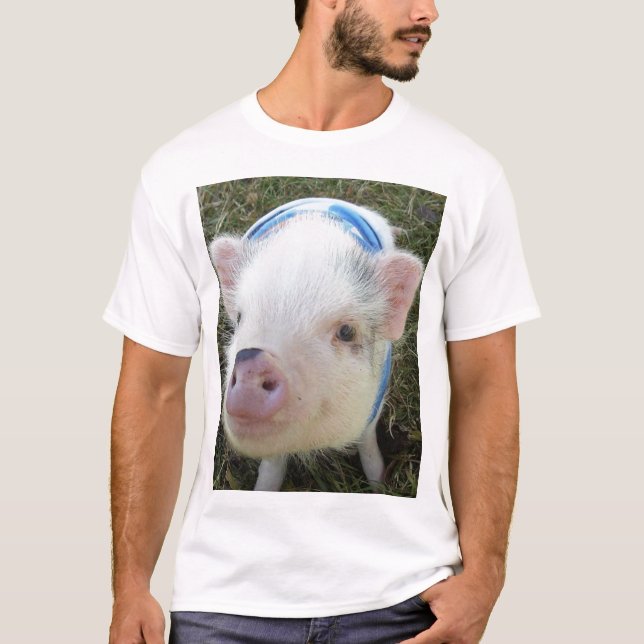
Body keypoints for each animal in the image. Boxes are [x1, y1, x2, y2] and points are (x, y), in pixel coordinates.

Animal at [208, 197, 424, 492]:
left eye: (346, 331)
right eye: (240, 318)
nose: (252, 362)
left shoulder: (375, 402)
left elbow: (368, 444)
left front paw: (380, 485)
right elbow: (272, 464)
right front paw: (262, 490)